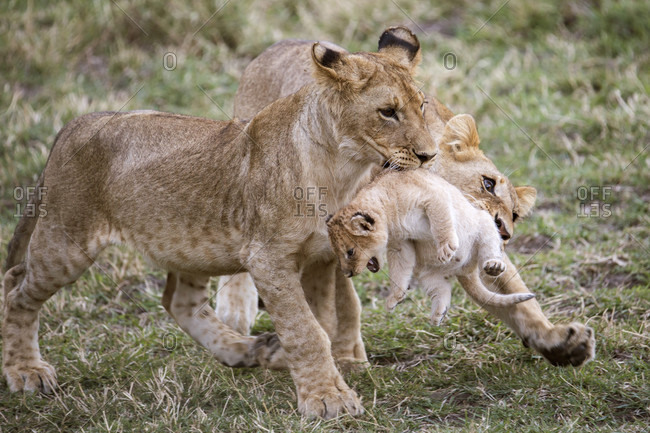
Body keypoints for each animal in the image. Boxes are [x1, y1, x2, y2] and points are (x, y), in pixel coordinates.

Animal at [2, 27, 437, 419]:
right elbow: (306, 330)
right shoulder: (268, 258)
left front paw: (326, 378)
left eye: (422, 105)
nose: (429, 155)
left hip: (191, 247)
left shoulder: (322, 257)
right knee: (16, 287)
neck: (344, 165)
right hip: (67, 242)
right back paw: (26, 372)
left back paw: (252, 351)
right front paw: (328, 399)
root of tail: (75, 124)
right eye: (387, 112)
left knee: (179, 301)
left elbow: (325, 320)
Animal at [327, 115, 536, 326]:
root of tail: (464, 270)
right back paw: (437, 316)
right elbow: (400, 269)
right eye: (488, 184)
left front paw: (447, 247)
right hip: (430, 276)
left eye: (350, 252)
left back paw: (493, 265)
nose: (347, 274)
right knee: (441, 292)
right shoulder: (401, 243)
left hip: (484, 226)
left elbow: (441, 221)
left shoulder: (434, 196)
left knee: (489, 249)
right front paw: (394, 297)